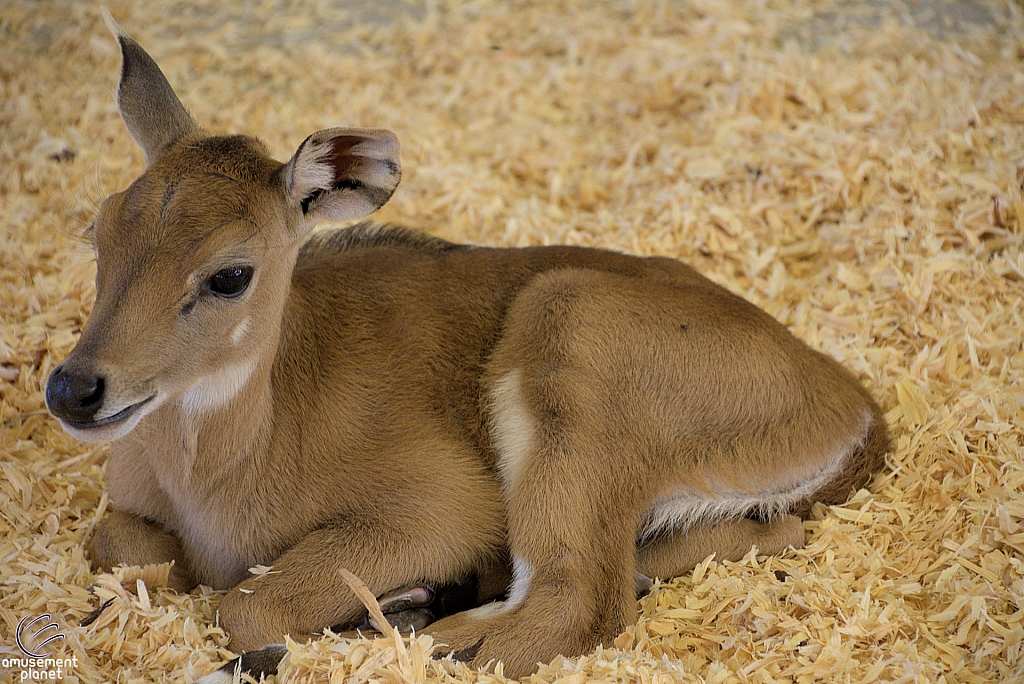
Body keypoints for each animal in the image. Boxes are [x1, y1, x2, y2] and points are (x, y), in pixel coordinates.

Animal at [46, 14, 888, 679]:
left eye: (230, 273)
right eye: (100, 229)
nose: (74, 389)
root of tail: (851, 404)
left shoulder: (442, 509)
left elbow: (243, 608)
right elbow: (112, 541)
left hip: (569, 351)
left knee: (574, 603)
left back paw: (427, 621)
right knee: (765, 531)